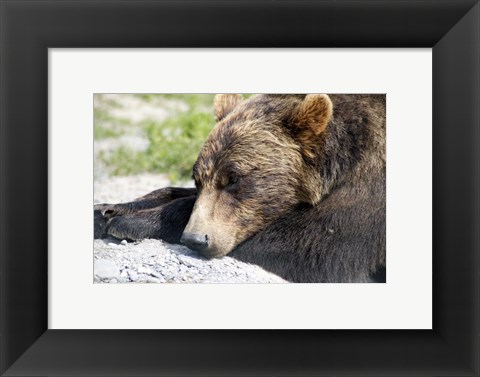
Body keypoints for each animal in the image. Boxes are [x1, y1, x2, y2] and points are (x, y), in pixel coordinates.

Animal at [94, 94, 386, 282]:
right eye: (197, 178)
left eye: (234, 179)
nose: (196, 239)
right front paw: (106, 211)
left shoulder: (367, 192)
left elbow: (307, 246)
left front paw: (130, 222)